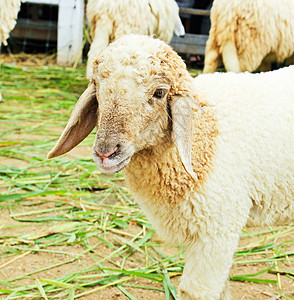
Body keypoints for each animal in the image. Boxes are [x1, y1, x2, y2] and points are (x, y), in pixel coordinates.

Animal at [48, 34, 294, 298]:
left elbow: (195, 290)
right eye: (96, 84)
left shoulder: (218, 229)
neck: (203, 136)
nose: (106, 152)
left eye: (159, 92)